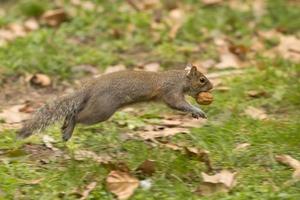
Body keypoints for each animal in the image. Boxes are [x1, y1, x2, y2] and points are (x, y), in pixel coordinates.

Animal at [17, 65, 213, 141]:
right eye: (202, 80)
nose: (212, 87)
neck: (179, 79)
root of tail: (90, 87)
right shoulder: (171, 91)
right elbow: (178, 104)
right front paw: (197, 110)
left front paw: (195, 113)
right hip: (102, 109)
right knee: (77, 115)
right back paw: (68, 129)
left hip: (95, 105)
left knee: (72, 111)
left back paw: (65, 127)